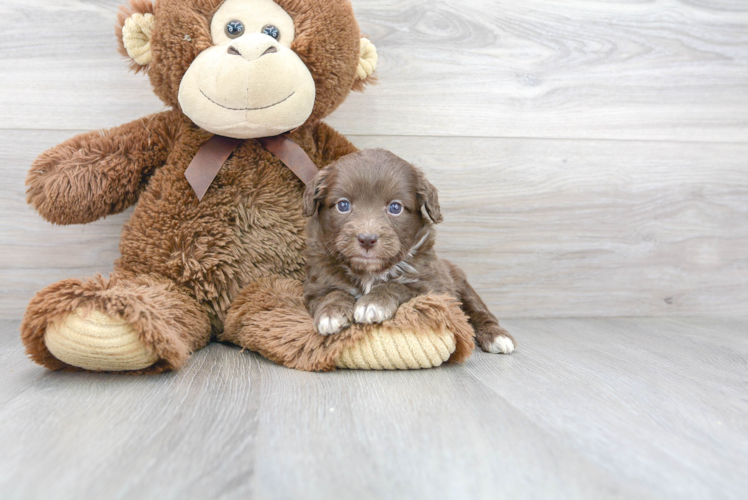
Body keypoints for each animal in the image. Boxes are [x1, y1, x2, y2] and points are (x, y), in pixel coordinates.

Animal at [300, 148, 516, 356]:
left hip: (461, 284)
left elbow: (399, 285)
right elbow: (333, 292)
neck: (369, 272)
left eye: (395, 207)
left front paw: (374, 303)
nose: (367, 239)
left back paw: (497, 336)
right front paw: (331, 313)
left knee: (479, 311)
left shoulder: (434, 288)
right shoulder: (315, 287)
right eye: (343, 205)